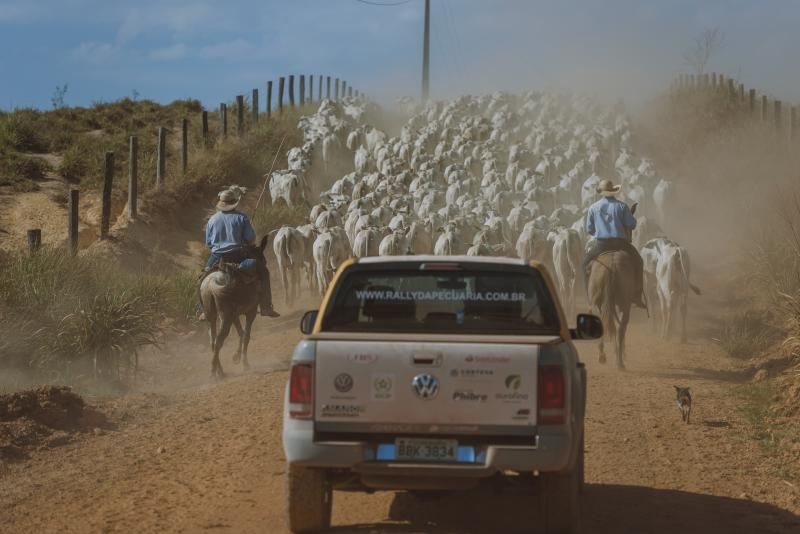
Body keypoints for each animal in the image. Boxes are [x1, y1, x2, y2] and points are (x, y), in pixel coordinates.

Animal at [200, 236, 268, 382]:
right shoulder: (250, 312)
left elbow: (241, 333)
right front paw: (245, 364)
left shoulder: (235, 314)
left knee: (213, 341)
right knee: (219, 340)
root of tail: (211, 281)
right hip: (225, 316)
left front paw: (236, 357)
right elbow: (246, 335)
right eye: (262, 258)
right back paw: (213, 371)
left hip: (212, 316)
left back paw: (220, 371)